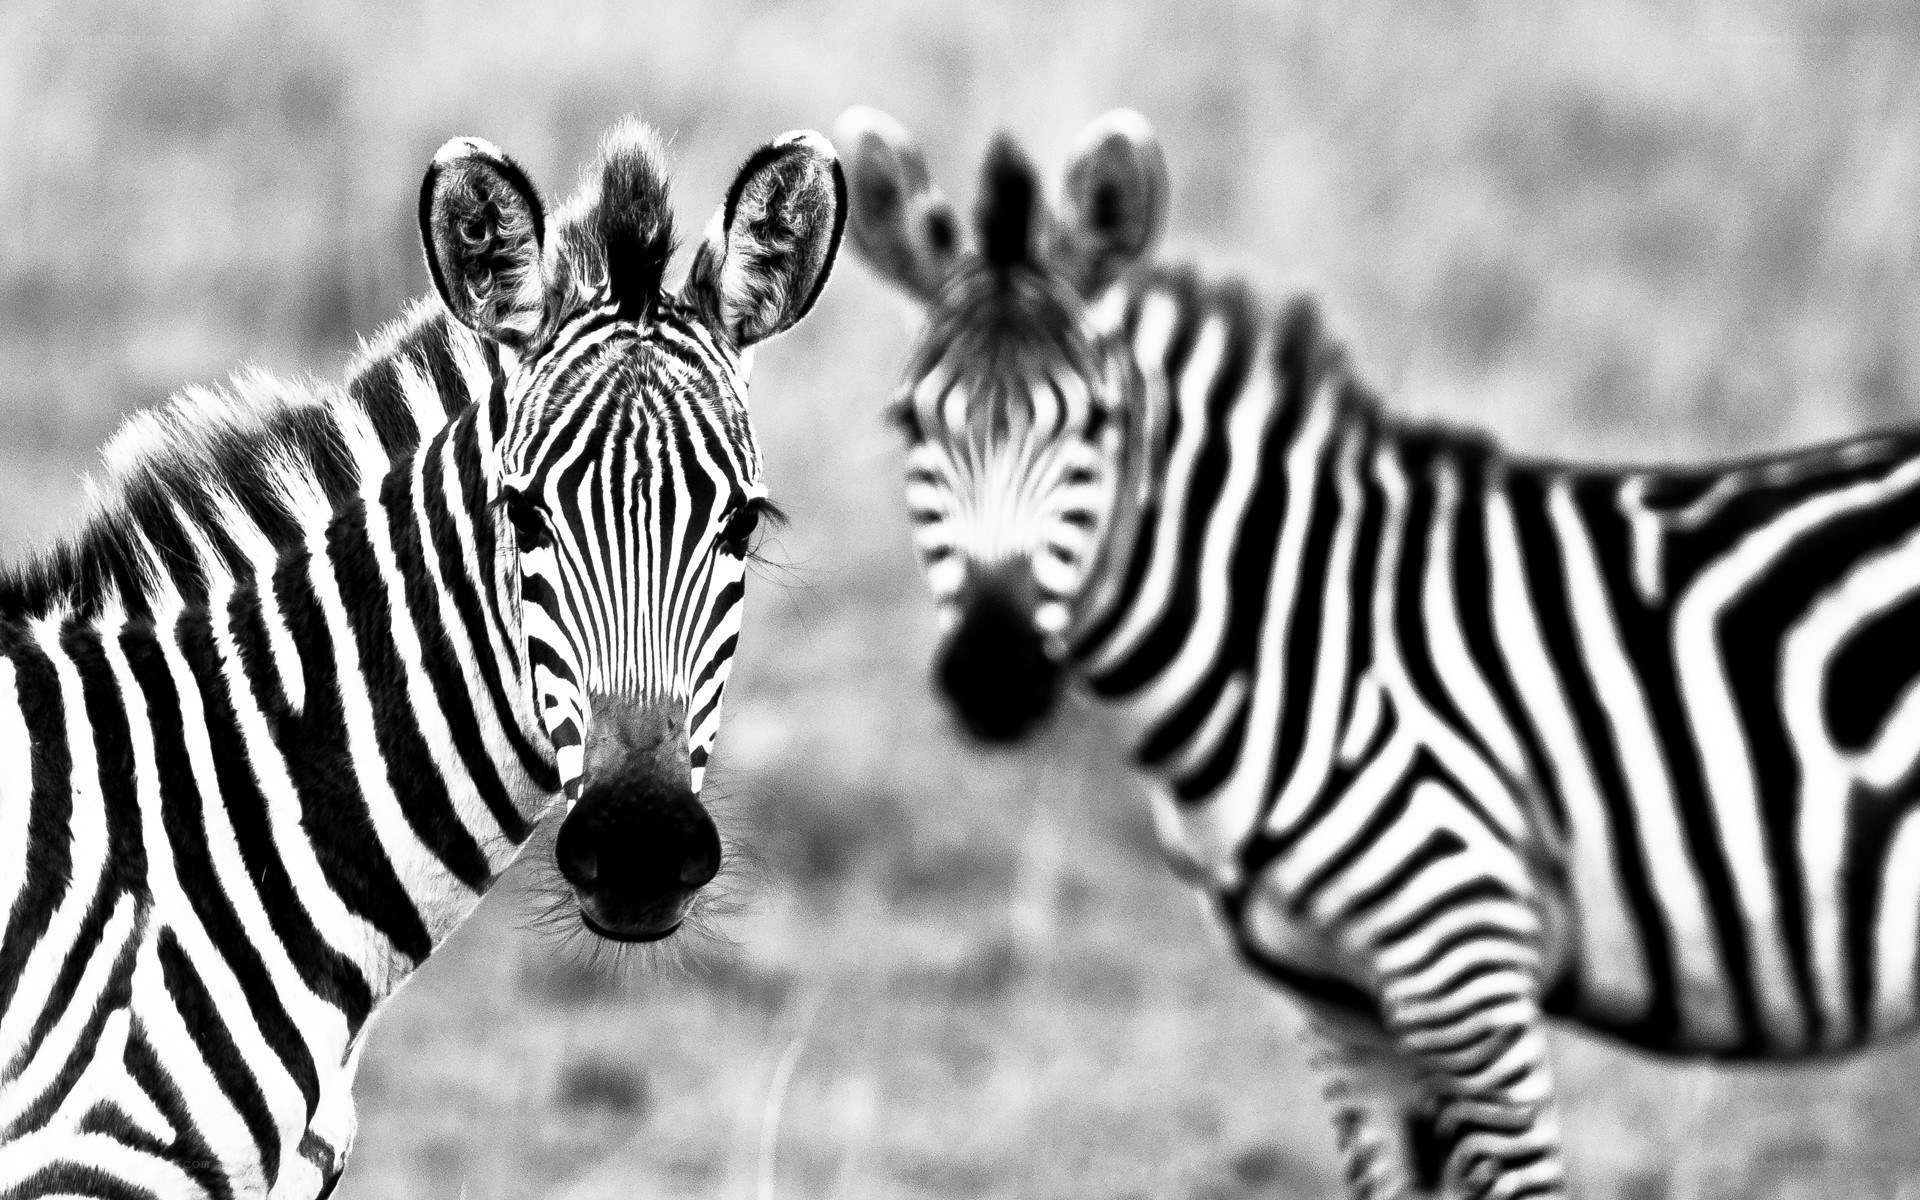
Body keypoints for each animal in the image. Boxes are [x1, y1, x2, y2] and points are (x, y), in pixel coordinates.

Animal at [836, 103, 1920, 1198]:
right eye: (908, 422)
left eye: (1100, 424)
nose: (993, 677)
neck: (1293, 637)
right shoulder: (1341, 1010)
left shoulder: (1463, 967)